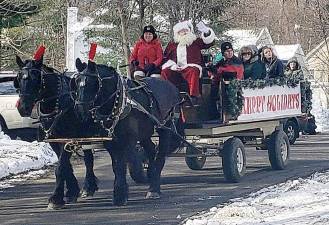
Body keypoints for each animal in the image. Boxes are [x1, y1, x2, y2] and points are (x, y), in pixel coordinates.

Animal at [72, 58, 183, 206]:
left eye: (91, 82)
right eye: (77, 81)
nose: (80, 110)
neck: (119, 102)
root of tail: (173, 88)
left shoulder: (129, 140)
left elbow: (126, 162)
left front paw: (122, 192)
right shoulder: (111, 142)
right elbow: (116, 166)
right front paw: (119, 194)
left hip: (165, 128)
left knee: (160, 157)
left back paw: (154, 189)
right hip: (145, 134)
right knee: (151, 150)